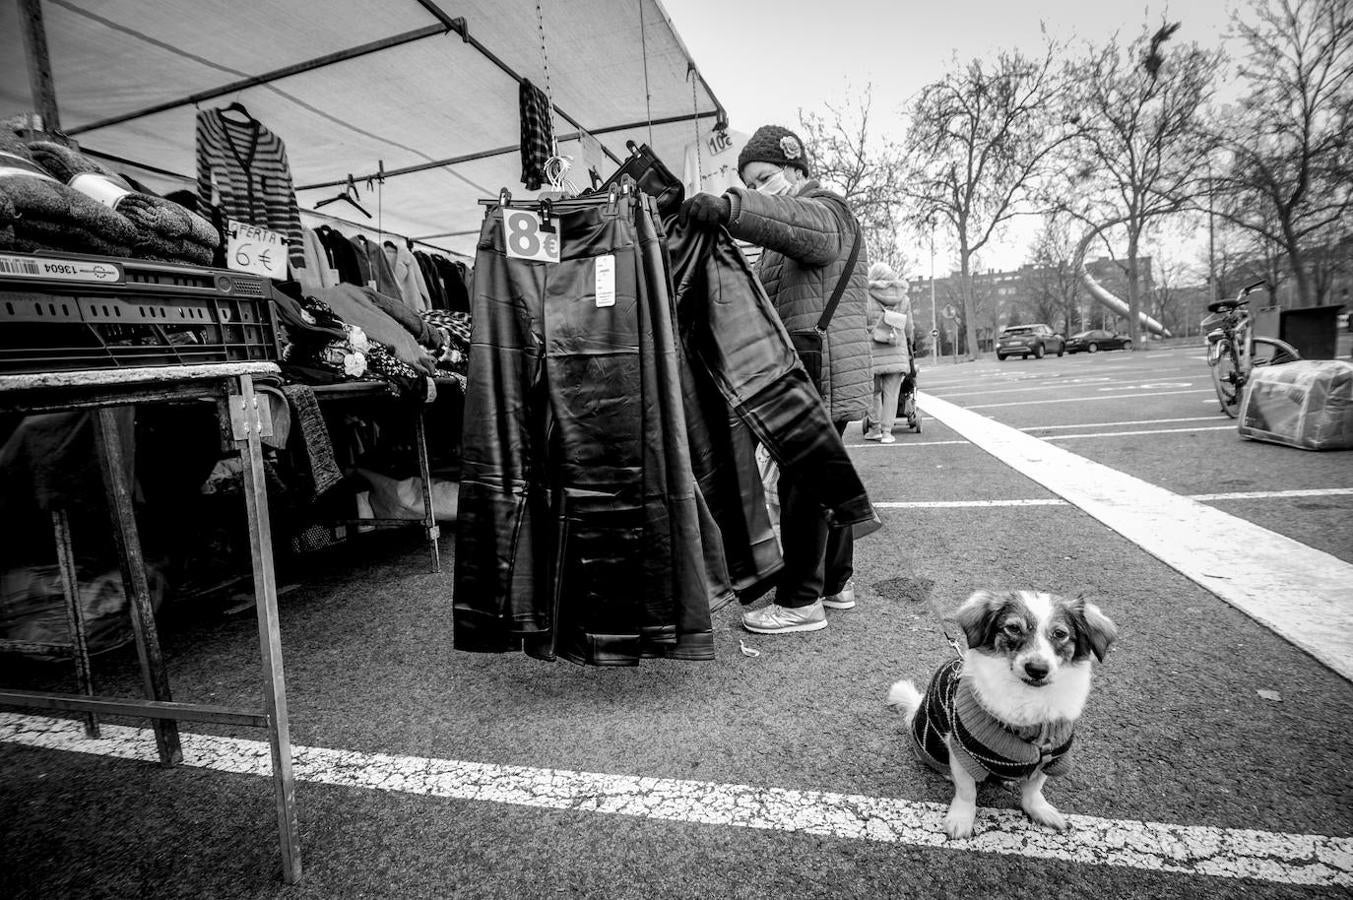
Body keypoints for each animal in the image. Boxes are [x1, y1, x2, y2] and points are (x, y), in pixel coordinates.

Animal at [882, 590, 1114, 833]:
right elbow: (966, 790)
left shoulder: (1054, 757)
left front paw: (1039, 809)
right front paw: (961, 818)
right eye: (1013, 628)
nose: (1037, 669)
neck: (1028, 698)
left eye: (1060, 634)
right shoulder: (962, 750)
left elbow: (1034, 788)